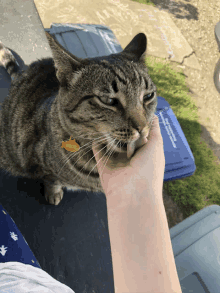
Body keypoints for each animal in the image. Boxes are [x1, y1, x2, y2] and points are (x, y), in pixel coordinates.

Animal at [0, 30, 158, 204]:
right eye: (108, 100)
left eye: (148, 96)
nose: (142, 127)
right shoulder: (41, 164)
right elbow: (52, 180)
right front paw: (53, 193)